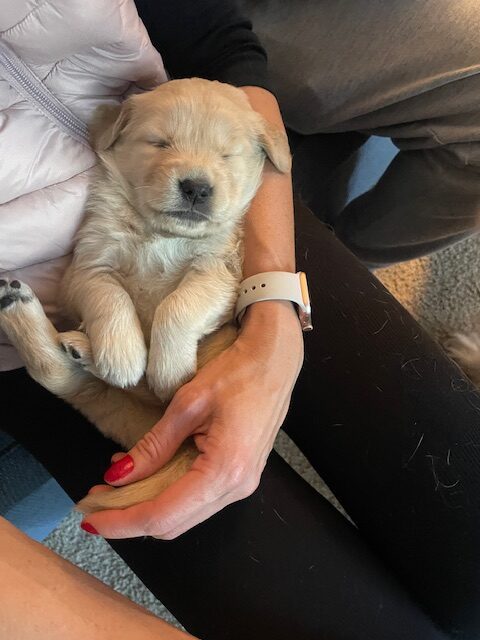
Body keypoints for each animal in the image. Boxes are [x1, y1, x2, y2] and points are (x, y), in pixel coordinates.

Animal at [0, 76, 290, 516]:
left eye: (226, 155)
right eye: (160, 143)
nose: (196, 188)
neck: (161, 233)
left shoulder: (219, 271)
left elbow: (178, 305)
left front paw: (168, 370)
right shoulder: (88, 265)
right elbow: (111, 296)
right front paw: (124, 354)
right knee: (64, 377)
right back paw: (34, 317)